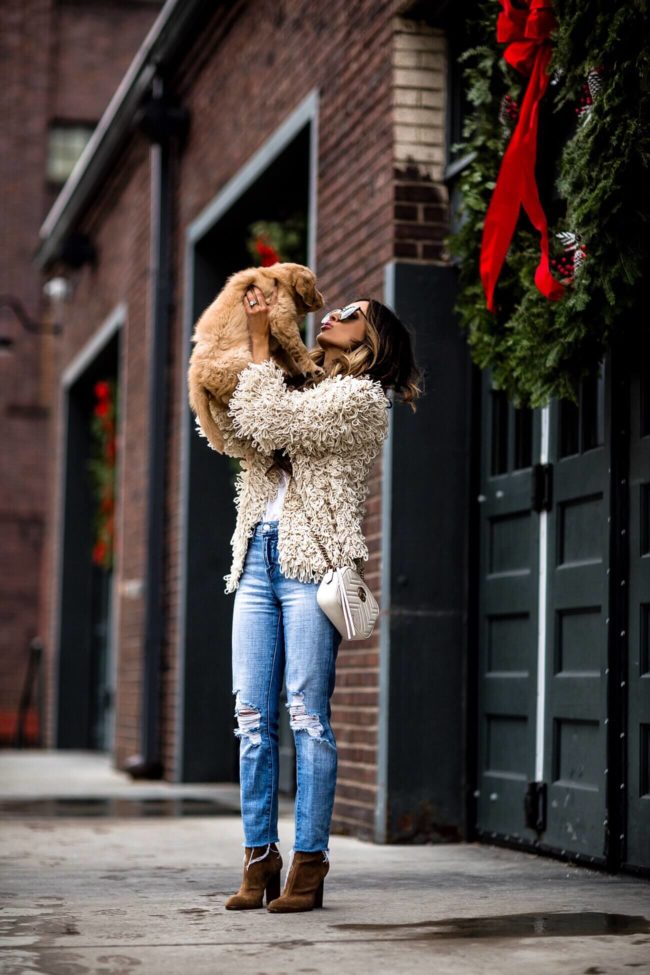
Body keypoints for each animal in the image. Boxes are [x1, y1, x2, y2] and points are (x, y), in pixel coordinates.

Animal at [186, 262, 322, 456]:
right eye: (315, 285)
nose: (322, 299)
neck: (278, 279)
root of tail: (195, 377)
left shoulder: (275, 338)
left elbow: (286, 358)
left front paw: (297, 374)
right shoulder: (281, 318)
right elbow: (298, 348)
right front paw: (312, 368)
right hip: (240, 362)